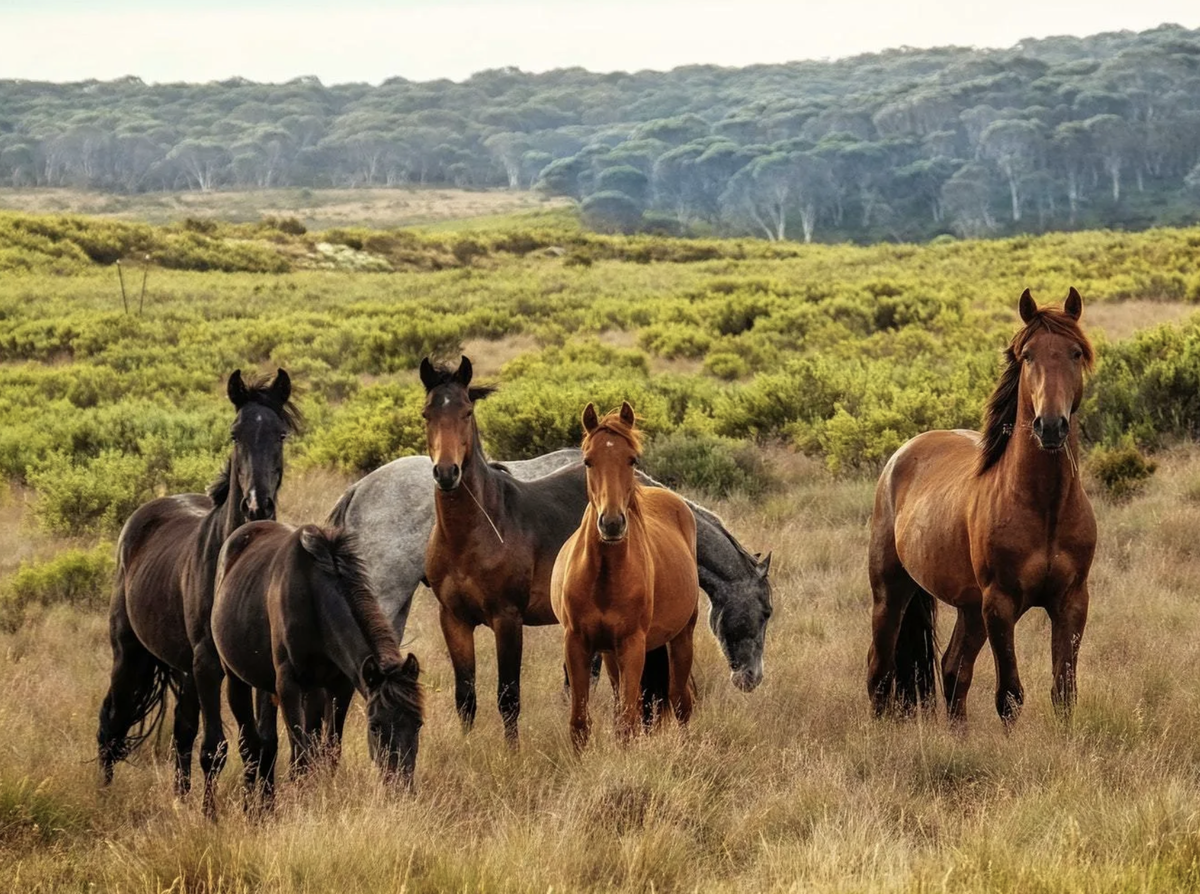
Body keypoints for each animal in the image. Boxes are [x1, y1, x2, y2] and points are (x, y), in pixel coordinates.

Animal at [213, 520, 424, 811]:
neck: (314, 598)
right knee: (251, 746)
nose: (401, 788)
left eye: (418, 724)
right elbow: (301, 757)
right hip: (237, 680)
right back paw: (252, 809)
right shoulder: (288, 685)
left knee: (270, 743)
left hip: (289, 689)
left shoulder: (340, 686)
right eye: (374, 726)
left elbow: (328, 751)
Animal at [549, 403, 700, 744]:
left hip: (681, 637)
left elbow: (628, 723)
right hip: (610, 653)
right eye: (588, 460)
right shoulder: (577, 643)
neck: (603, 577)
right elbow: (580, 723)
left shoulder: (633, 645)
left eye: (632, 459)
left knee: (681, 701)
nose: (612, 523)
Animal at [864, 288, 1099, 724]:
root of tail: (902, 454)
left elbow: (1064, 691)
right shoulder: (1000, 605)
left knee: (953, 669)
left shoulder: (1072, 602)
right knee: (880, 670)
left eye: (1075, 353)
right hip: (891, 592)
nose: (1050, 426)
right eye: (1028, 356)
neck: (1044, 506)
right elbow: (1009, 695)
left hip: (969, 608)